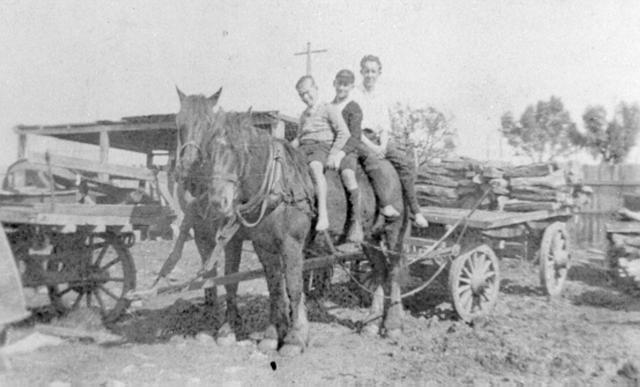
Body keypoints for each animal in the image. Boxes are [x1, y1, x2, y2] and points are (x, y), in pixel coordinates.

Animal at [200, 107, 410, 356]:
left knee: (393, 271)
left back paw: (394, 325)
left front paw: (294, 338)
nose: (217, 201)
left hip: (393, 234)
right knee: (380, 270)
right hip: (370, 239)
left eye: (239, 149)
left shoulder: (291, 245)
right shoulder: (265, 247)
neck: (277, 187)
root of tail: (390, 166)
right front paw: (272, 336)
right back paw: (372, 323)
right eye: (209, 151)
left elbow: (293, 287)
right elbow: (274, 288)